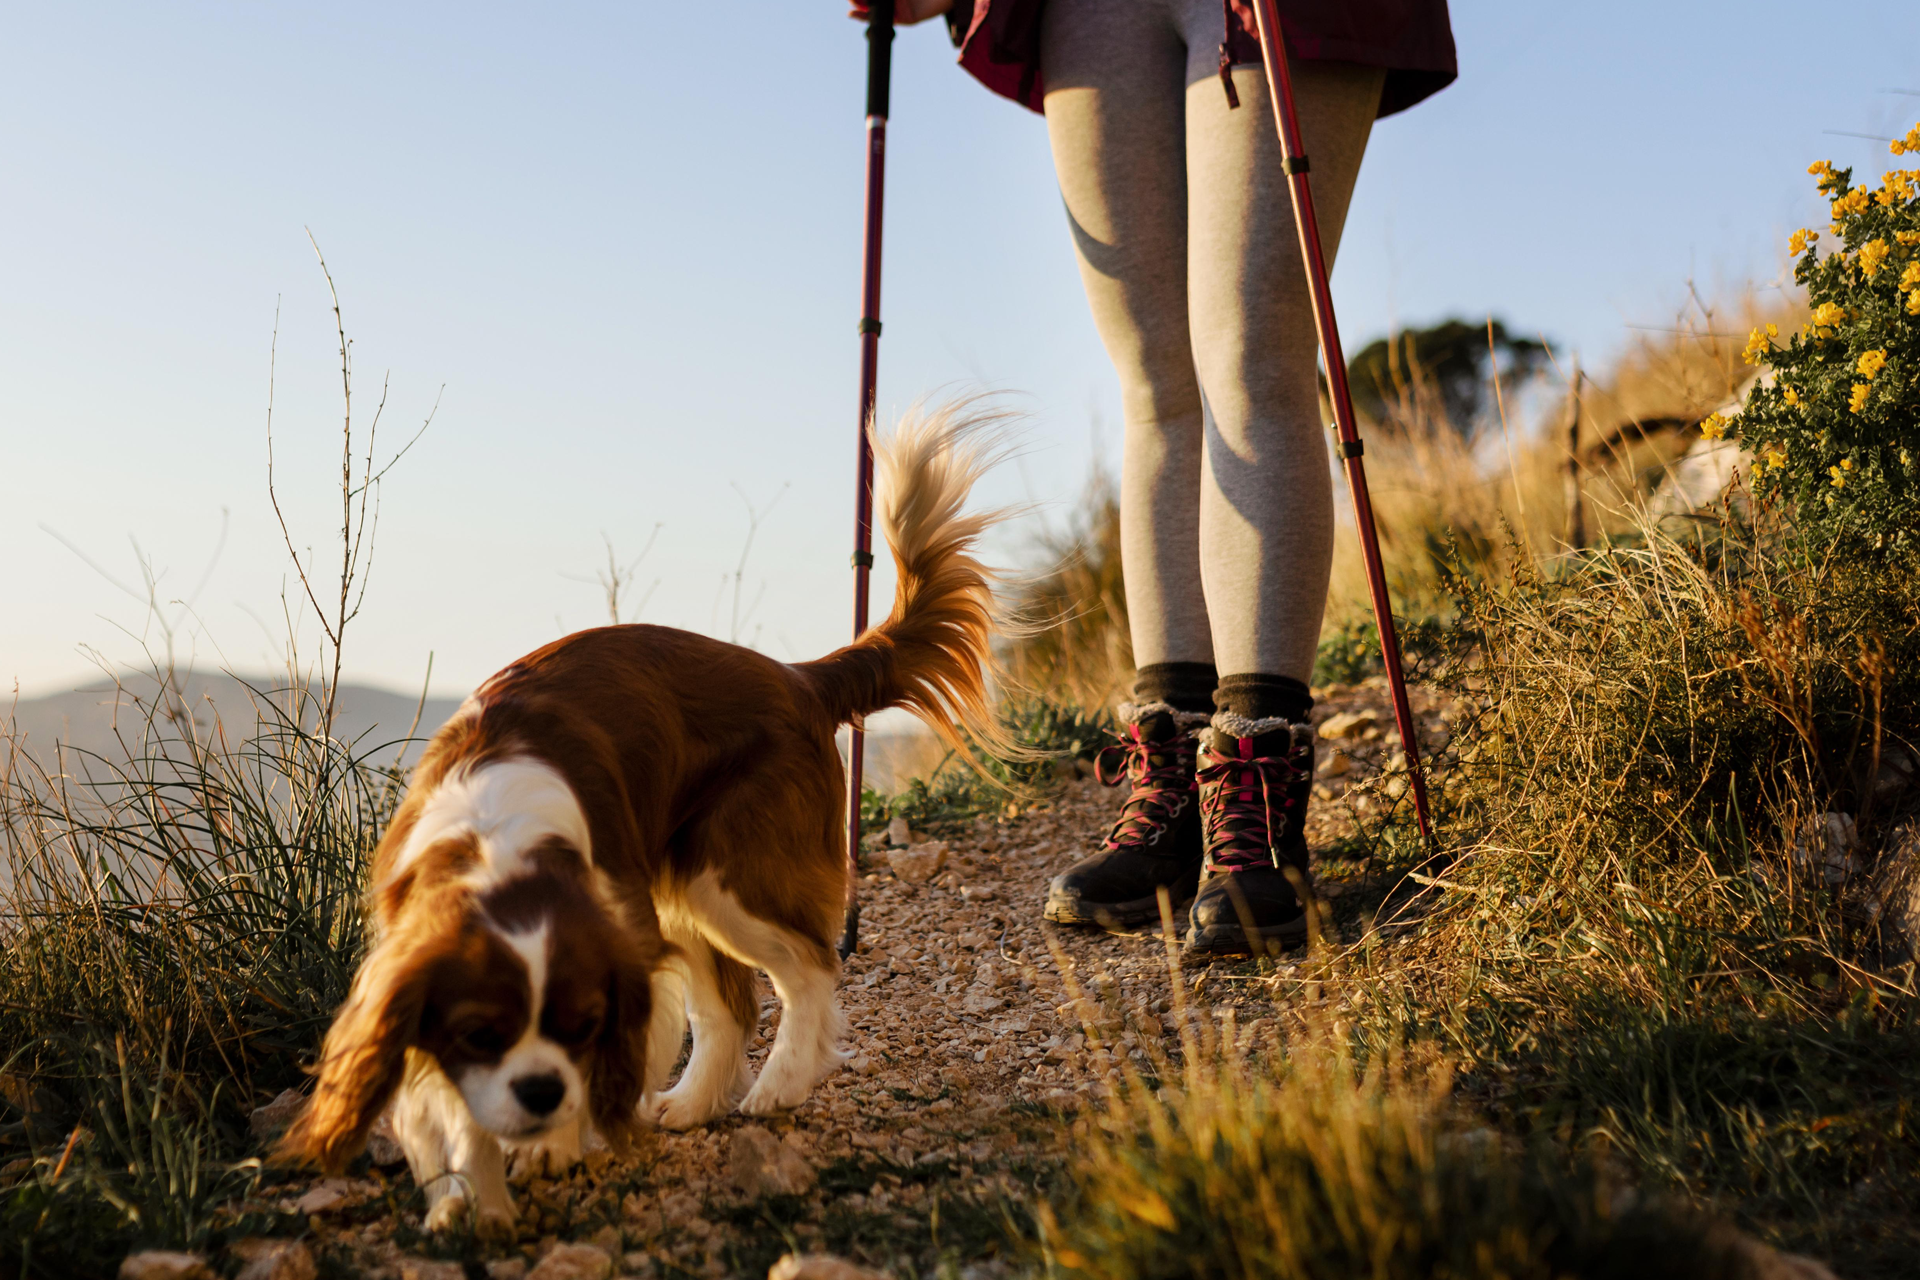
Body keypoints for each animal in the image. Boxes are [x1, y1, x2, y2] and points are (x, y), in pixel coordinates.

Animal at [280, 408, 1013, 1228]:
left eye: (580, 1024)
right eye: (480, 1031)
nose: (541, 1094)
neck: (495, 842)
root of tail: (800, 678)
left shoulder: (625, 945)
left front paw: (550, 1147)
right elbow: (458, 1106)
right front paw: (476, 1197)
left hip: (723, 875)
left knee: (808, 969)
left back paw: (779, 1086)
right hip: (675, 885)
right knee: (731, 1003)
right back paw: (692, 1104)